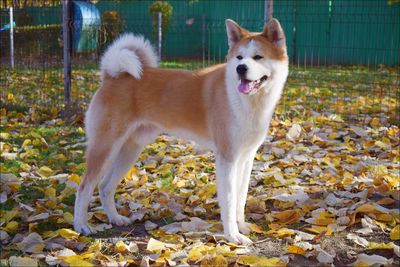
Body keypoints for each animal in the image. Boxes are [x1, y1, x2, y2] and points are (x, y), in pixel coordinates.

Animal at [74, 18, 288, 245]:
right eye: (239, 57)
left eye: (258, 57)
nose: (240, 68)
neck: (248, 102)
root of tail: (112, 76)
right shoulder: (227, 159)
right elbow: (229, 202)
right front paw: (232, 235)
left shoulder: (246, 158)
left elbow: (241, 198)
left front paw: (243, 227)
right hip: (105, 147)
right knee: (85, 187)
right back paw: (81, 226)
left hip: (129, 150)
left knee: (105, 186)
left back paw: (115, 218)